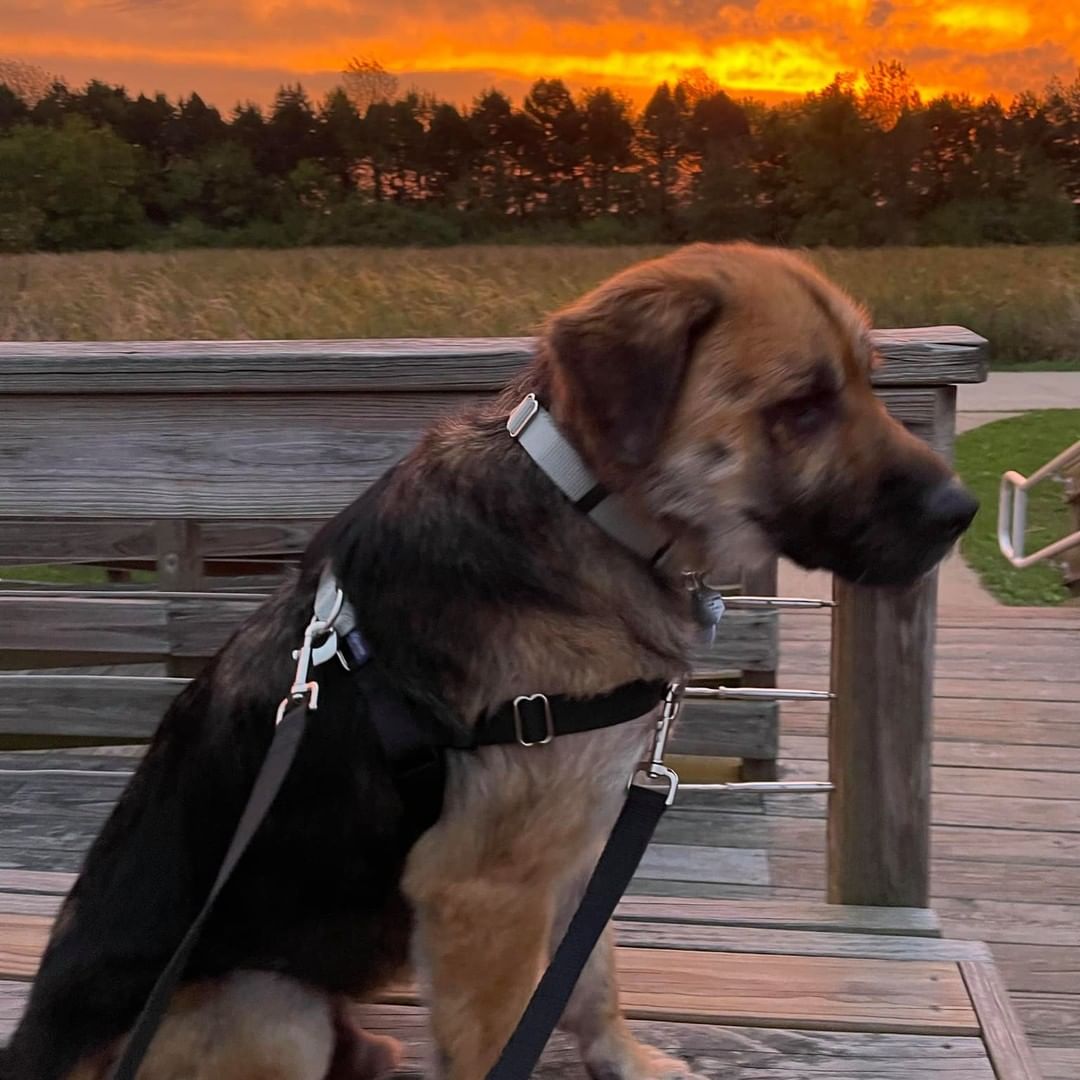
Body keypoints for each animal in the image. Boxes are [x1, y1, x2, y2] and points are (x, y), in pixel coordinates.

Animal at [2, 245, 980, 1080]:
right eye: (803, 405)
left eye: (867, 381)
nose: (962, 511)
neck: (589, 510)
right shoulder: (484, 892)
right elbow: (505, 1032)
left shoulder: (579, 836)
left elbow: (592, 975)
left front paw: (625, 1060)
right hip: (268, 1003)